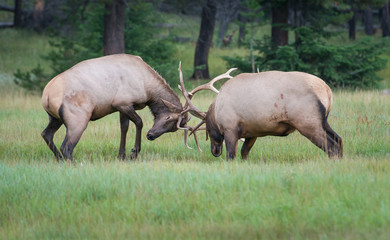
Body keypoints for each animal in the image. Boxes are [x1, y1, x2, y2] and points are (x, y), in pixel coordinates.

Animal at [41, 54, 190, 162]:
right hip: (77, 119)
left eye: (173, 129)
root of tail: (46, 95)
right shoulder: (123, 102)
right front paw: (134, 152)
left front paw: (122, 156)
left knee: (46, 134)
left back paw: (60, 160)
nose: (151, 135)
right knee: (66, 147)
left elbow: (124, 127)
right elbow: (139, 122)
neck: (148, 89)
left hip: (55, 118)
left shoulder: (123, 106)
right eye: (169, 118)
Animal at [178, 65, 342, 159]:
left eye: (208, 130)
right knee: (339, 140)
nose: (215, 151)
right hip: (323, 121)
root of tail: (327, 90)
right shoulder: (252, 132)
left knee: (331, 146)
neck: (216, 110)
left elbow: (231, 155)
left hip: (307, 122)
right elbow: (244, 153)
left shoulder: (231, 128)